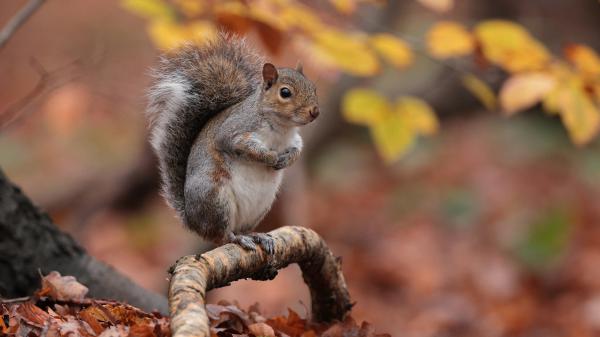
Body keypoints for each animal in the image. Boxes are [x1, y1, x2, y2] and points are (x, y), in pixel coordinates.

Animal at [145, 32, 318, 252]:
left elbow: (297, 150)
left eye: (313, 87)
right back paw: (237, 239)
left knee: (240, 229)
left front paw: (286, 160)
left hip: (260, 207)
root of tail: (193, 222)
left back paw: (256, 236)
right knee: (221, 235)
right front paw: (270, 157)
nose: (315, 112)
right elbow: (240, 146)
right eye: (285, 92)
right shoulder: (234, 130)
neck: (282, 128)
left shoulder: (295, 139)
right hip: (216, 199)